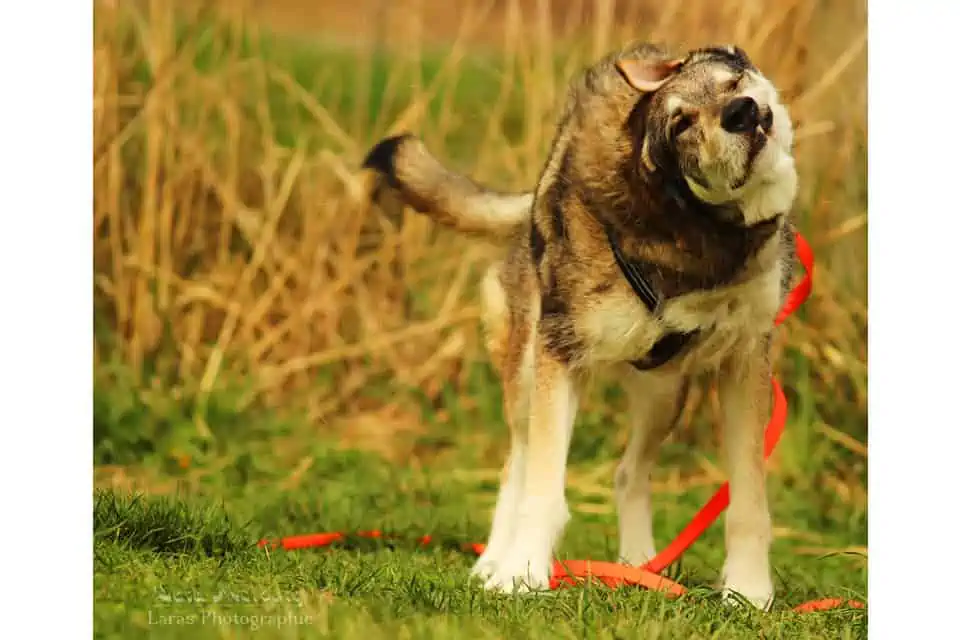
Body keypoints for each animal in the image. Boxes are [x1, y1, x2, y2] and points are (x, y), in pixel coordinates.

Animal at [360, 41, 796, 608]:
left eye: (731, 80)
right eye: (680, 123)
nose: (741, 112)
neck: (691, 226)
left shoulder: (745, 362)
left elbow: (747, 504)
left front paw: (748, 593)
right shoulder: (560, 355)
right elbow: (543, 490)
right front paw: (520, 574)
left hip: (665, 393)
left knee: (628, 473)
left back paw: (638, 567)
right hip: (527, 374)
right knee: (518, 467)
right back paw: (493, 561)